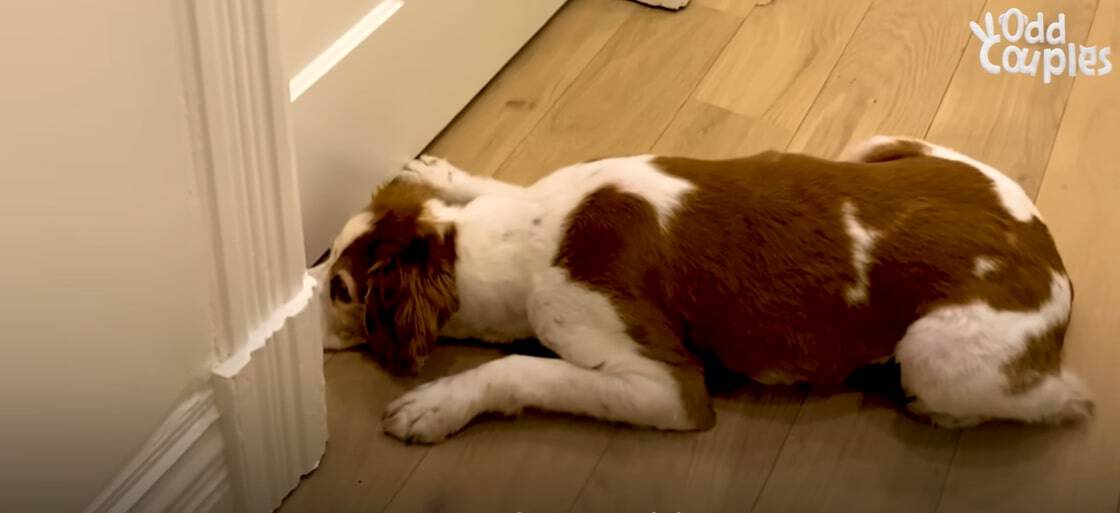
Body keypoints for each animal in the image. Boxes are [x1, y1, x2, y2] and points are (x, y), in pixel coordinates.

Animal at [318, 134, 1093, 443]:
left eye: (338, 290)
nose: (302, 306)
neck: (532, 242)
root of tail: (1045, 244)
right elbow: (492, 187)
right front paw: (443, 174)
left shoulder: (665, 384)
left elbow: (517, 368)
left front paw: (435, 405)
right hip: (887, 146)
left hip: (937, 357)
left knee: (1063, 398)